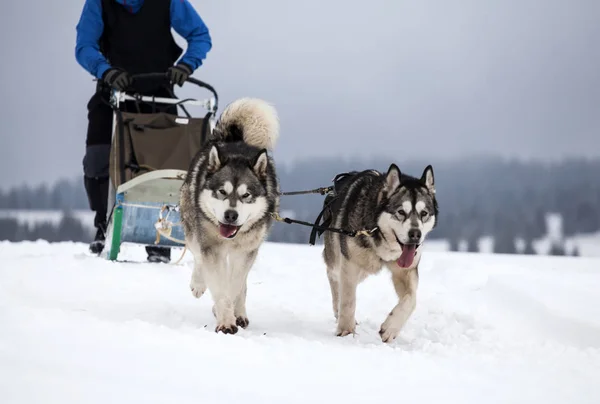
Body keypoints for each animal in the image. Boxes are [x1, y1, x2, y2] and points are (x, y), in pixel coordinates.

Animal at [179, 98, 280, 334]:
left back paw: (240, 313)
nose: (230, 215)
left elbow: (234, 285)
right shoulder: (212, 249)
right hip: (193, 229)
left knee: (241, 283)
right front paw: (225, 320)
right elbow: (219, 284)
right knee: (198, 257)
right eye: (222, 192)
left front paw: (229, 313)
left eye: (246, 195)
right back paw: (199, 284)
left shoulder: (244, 252)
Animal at [322, 164, 438, 340]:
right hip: (340, 260)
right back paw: (338, 310)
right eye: (401, 212)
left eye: (423, 213)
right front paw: (346, 330)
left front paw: (390, 328)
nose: (415, 234)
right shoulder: (349, 264)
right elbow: (348, 301)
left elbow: (411, 300)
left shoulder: (406, 271)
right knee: (334, 277)